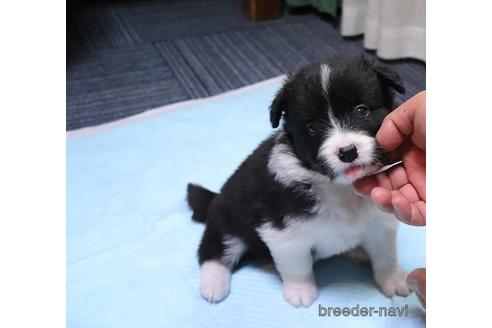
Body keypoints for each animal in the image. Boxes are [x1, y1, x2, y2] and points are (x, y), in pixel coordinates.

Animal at [186, 55, 410, 308]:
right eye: (312, 128)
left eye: (361, 110)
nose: (347, 152)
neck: (339, 189)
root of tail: (215, 198)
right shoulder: (283, 233)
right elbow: (297, 267)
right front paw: (300, 292)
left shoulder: (381, 223)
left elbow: (386, 255)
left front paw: (393, 279)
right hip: (227, 219)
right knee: (213, 249)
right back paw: (213, 284)